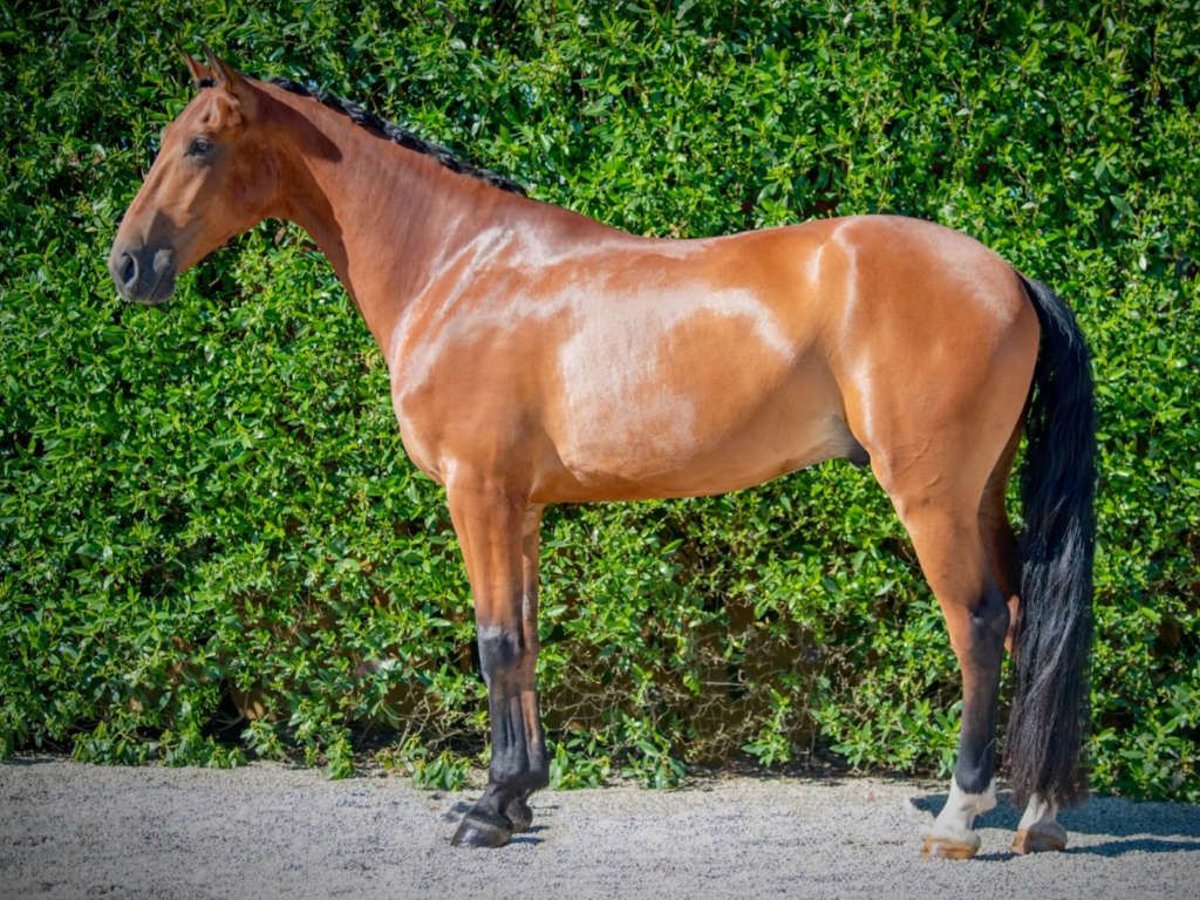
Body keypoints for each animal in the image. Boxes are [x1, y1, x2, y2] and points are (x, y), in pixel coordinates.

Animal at [112, 51, 1099, 859]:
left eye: (199, 145)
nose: (128, 267)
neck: (459, 265)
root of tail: (1008, 275)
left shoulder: (479, 493)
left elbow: (495, 641)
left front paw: (486, 810)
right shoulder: (521, 505)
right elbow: (525, 639)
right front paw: (516, 797)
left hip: (932, 498)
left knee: (979, 623)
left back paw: (961, 816)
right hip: (981, 493)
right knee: (1027, 616)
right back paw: (1038, 814)